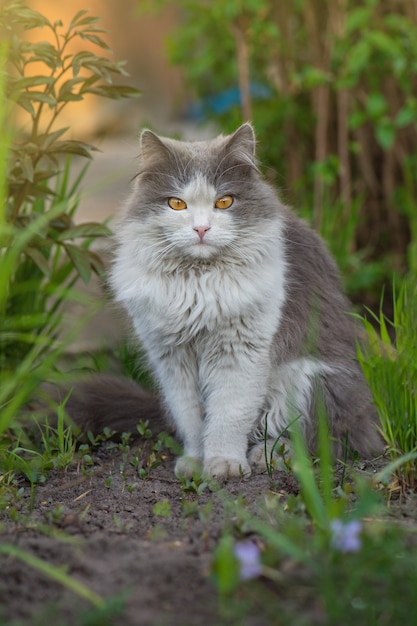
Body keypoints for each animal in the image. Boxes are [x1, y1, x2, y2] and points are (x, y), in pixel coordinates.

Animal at [66, 124, 382, 480]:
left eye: (225, 201)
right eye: (177, 203)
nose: (202, 229)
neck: (197, 281)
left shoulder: (240, 351)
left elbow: (227, 416)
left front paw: (225, 465)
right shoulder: (173, 359)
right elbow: (193, 420)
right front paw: (194, 462)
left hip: (308, 379)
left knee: (318, 440)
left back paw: (269, 456)